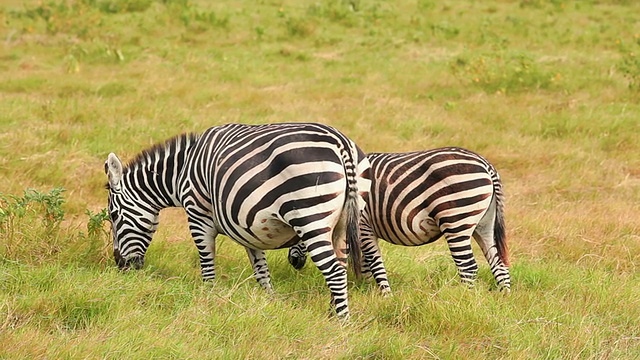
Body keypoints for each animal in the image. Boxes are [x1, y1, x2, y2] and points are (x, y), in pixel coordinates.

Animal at [104, 123, 370, 318]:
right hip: (343, 224)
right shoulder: (249, 227)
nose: (120, 265)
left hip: (310, 217)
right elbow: (261, 271)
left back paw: (342, 322)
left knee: (334, 271)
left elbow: (207, 263)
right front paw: (270, 303)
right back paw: (331, 313)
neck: (181, 173)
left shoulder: (198, 216)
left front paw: (209, 299)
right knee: (341, 265)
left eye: (114, 216)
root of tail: (341, 143)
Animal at [288, 148, 512, 294]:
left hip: (456, 221)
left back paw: (463, 299)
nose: (293, 262)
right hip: (484, 224)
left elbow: (375, 263)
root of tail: (486, 165)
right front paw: (367, 292)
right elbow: (367, 265)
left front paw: (385, 296)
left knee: (468, 267)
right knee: (498, 262)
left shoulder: (364, 226)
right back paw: (503, 299)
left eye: (298, 232)